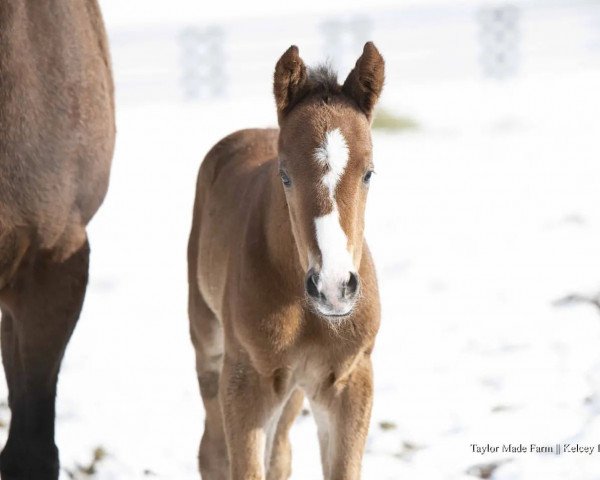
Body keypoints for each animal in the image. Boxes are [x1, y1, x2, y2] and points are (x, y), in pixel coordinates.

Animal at [189, 42, 384, 480]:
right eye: (285, 175)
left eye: (369, 173)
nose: (333, 288)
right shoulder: (247, 382)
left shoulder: (348, 381)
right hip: (209, 344)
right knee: (212, 451)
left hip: (293, 385)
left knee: (279, 452)